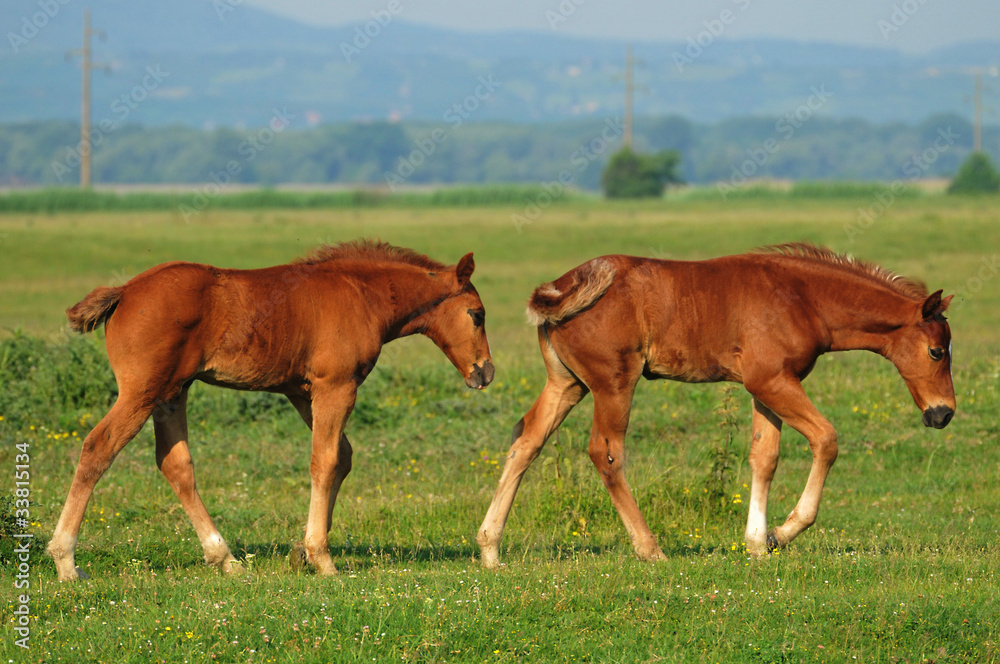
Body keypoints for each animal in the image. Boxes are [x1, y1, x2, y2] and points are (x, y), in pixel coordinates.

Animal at [48, 240, 494, 580]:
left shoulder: (301, 392)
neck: (361, 295)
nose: (485, 372)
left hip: (172, 393)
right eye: (477, 315)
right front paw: (322, 558)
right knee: (97, 448)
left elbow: (341, 457)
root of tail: (124, 292)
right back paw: (66, 560)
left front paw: (303, 550)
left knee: (175, 465)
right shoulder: (336, 386)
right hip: (141, 392)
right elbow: (325, 461)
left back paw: (224, 558)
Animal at [480, 244, 956, 564]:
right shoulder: (773, 381)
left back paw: (489, 549)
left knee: (526, 442)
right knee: (606, 453)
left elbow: (764, 457)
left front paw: (757, 544)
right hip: (613, 383)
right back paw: (650, 550)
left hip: (567, 383)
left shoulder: (767, 387)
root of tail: (561, 290)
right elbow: (826, 439)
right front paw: (782, 533)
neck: (803, 298)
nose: (943, 413)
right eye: (937, 351)